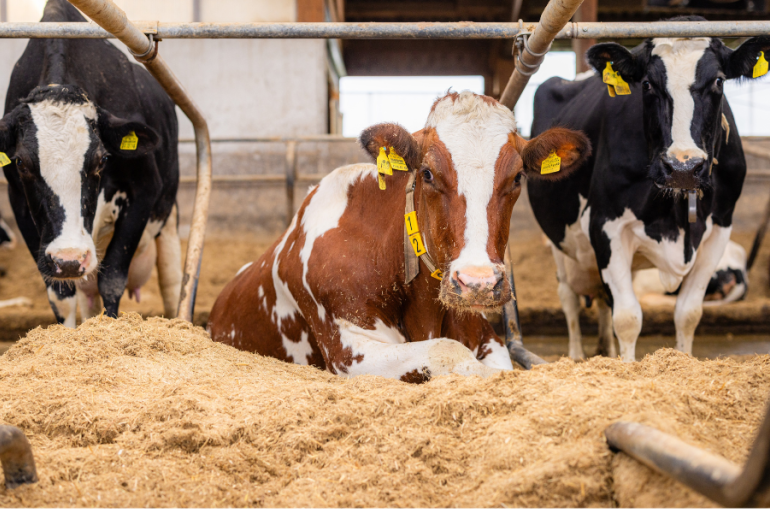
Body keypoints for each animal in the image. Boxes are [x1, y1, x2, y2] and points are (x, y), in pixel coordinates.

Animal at [0, 0, 181, 327]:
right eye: (20, 162)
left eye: (103, 159)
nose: (71, 258)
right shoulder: (19, 202)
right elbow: (61, 295)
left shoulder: (145, 189)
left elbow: (112, 279)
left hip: (168, 217)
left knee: (172, 285)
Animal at [208, 91, 590, 382]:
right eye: (428, 173)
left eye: (517, 177)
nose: (478, 283)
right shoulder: (349, 349)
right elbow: (450, 352)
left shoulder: (487, 336)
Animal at [527, 16, 768, 361]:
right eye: (647, 84)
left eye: (719, 82)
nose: (683, 167)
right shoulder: (605, 225)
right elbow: (628, 317)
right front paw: (627, 365)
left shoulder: (720, 228)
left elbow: (688, 313)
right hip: (560, 244)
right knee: (569, 299)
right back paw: (576, 354)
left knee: (601, 299)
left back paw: (606, 349)